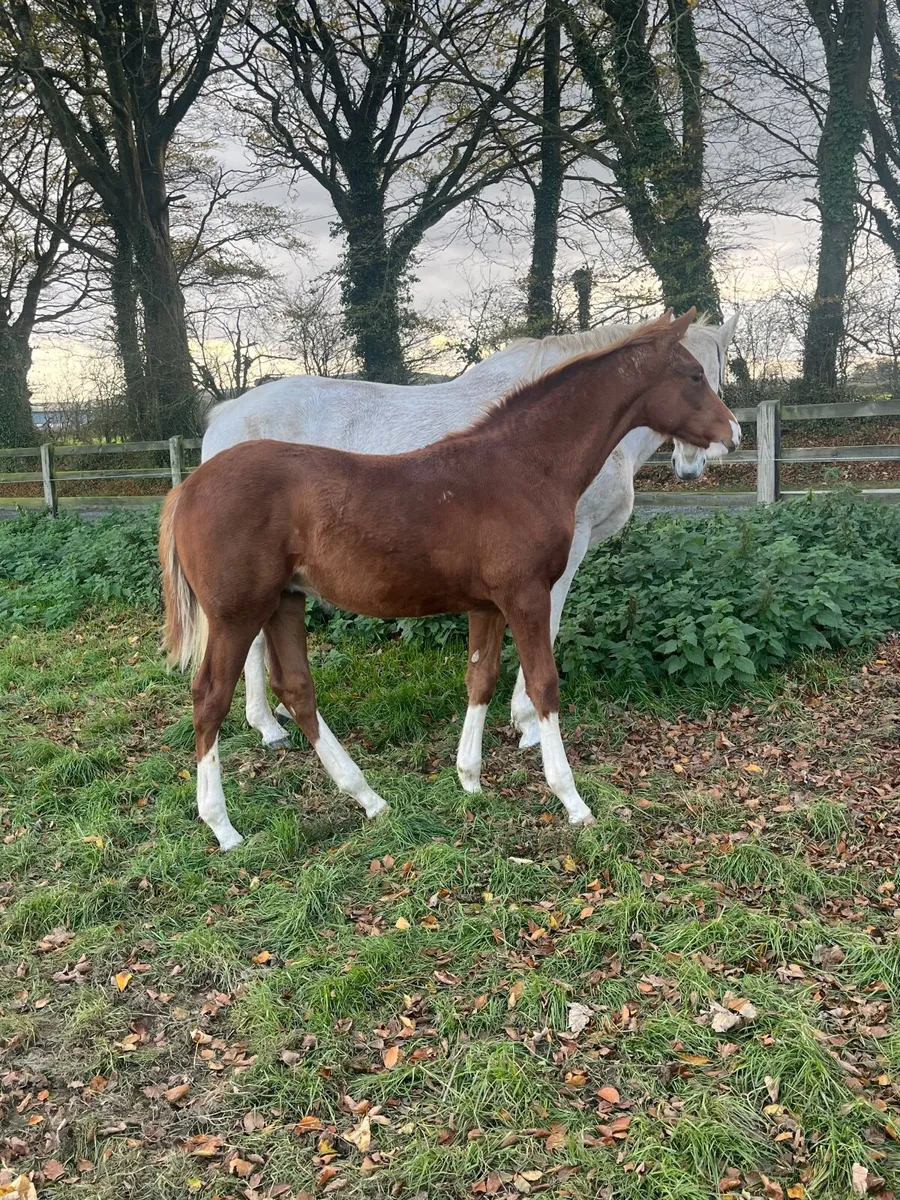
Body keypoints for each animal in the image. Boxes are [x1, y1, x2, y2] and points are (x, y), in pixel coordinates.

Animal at [160, 309, 740, 850]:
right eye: (695, 375)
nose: (731, 436)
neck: (523, 464)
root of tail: (189, 486)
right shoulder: (528, 594)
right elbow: (544, 683)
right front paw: (570, 796)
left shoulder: (487, 603)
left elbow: (480, 678)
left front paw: (470, 778)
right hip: (237, 611)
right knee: (210, 696)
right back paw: (224, 824)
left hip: (286, 600)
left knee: (297, 688)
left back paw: (368, 798)